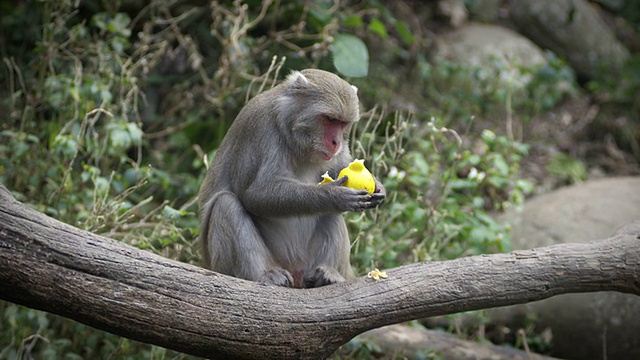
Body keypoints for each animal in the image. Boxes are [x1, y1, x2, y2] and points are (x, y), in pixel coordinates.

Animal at [198, 69, 384, 288]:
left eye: (342, 123)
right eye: (329, 119)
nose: (336, 142)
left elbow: (341, 167)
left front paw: (378, 186)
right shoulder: (260, 127)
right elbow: (255, 194)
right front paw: (333, 195)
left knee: (330, 215)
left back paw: (327, 275)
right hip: (227, 266)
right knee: (225, 204)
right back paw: (264, 275)